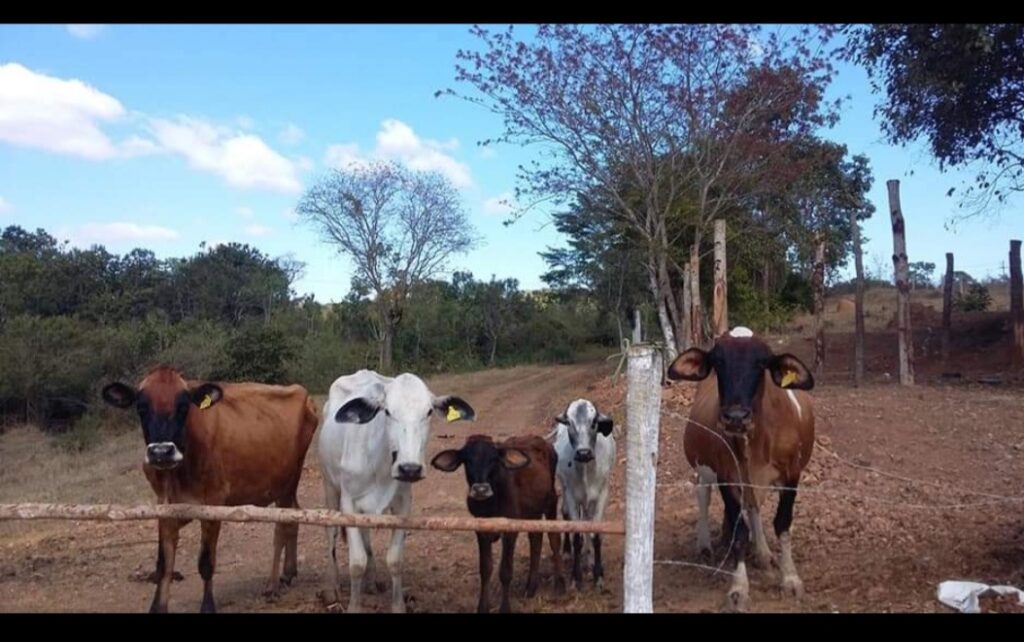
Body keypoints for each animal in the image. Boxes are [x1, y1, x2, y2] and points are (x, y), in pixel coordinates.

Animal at [102, 366, 319, 614]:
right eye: (141, 407)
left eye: (183, 406)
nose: (161, 452)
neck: (177, 474)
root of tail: (302, 392)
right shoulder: (164, 505)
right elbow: (163, 565)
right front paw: (157, 606)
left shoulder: (214, 503)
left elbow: (206, 563)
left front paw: (207, 606)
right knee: (295, 515)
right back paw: (288, 572)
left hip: (287, 481)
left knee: (282, 527)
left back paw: (272, 584)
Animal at [317, 368, 473, 614]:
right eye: (387, 411)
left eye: (429, 411)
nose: (409, 468)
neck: (379, 463)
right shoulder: (348, 503)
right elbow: (356, 562)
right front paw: (354, 605)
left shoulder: (403, 504)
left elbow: (395, 560)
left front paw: (398, 605)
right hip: (329, 487)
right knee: (331, 536)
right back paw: (333, 587)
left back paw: (371, 581)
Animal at [428, 434, 565, 614]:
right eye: (467, 459)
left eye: (493, 459)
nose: (480, 489)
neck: (490, 505)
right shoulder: (480, 530)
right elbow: (485, 569)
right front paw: (482, 607)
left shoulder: (510, 531)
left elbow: (505, 571)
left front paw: (505, 608)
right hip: (533, 512)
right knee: (535, 539)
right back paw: (530, 587)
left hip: (551, 501)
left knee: (554, 538)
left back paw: (560, 584)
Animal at [552, 399, 614, 589]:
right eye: (569, 424)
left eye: (593, 422)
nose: (583, 453)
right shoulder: (572, 497)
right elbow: (577, 535)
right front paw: (575, 577)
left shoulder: (602, 495)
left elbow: (595, 534)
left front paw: (598, 575)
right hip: (565, 489)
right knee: (565, 513)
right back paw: (568, 553)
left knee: (587, 518)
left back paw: (589, 558)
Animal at [663, 325, 815, 614]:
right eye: (718, 362)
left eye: (762, 363)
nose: (735, 417)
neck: (756, 439)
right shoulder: (726, 478)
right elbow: (739, 532)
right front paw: (739, 588)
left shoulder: (791, 475)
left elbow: (782, 523)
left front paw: (790, 578)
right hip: (704, 467)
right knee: (703, 495)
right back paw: (704, 544)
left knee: (753, 506)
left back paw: (763, 553)